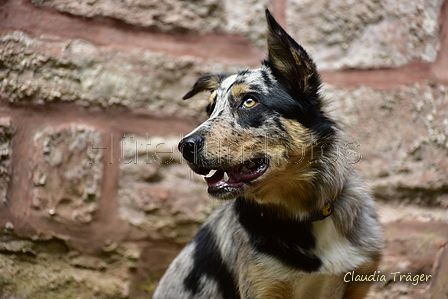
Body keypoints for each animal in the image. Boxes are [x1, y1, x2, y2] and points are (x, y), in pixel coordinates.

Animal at [153, 9, 382, 299]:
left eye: (249, 101)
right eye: (209, 109)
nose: (185, 146)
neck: (308, 214)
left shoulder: (359, 281)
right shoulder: (263, 286)